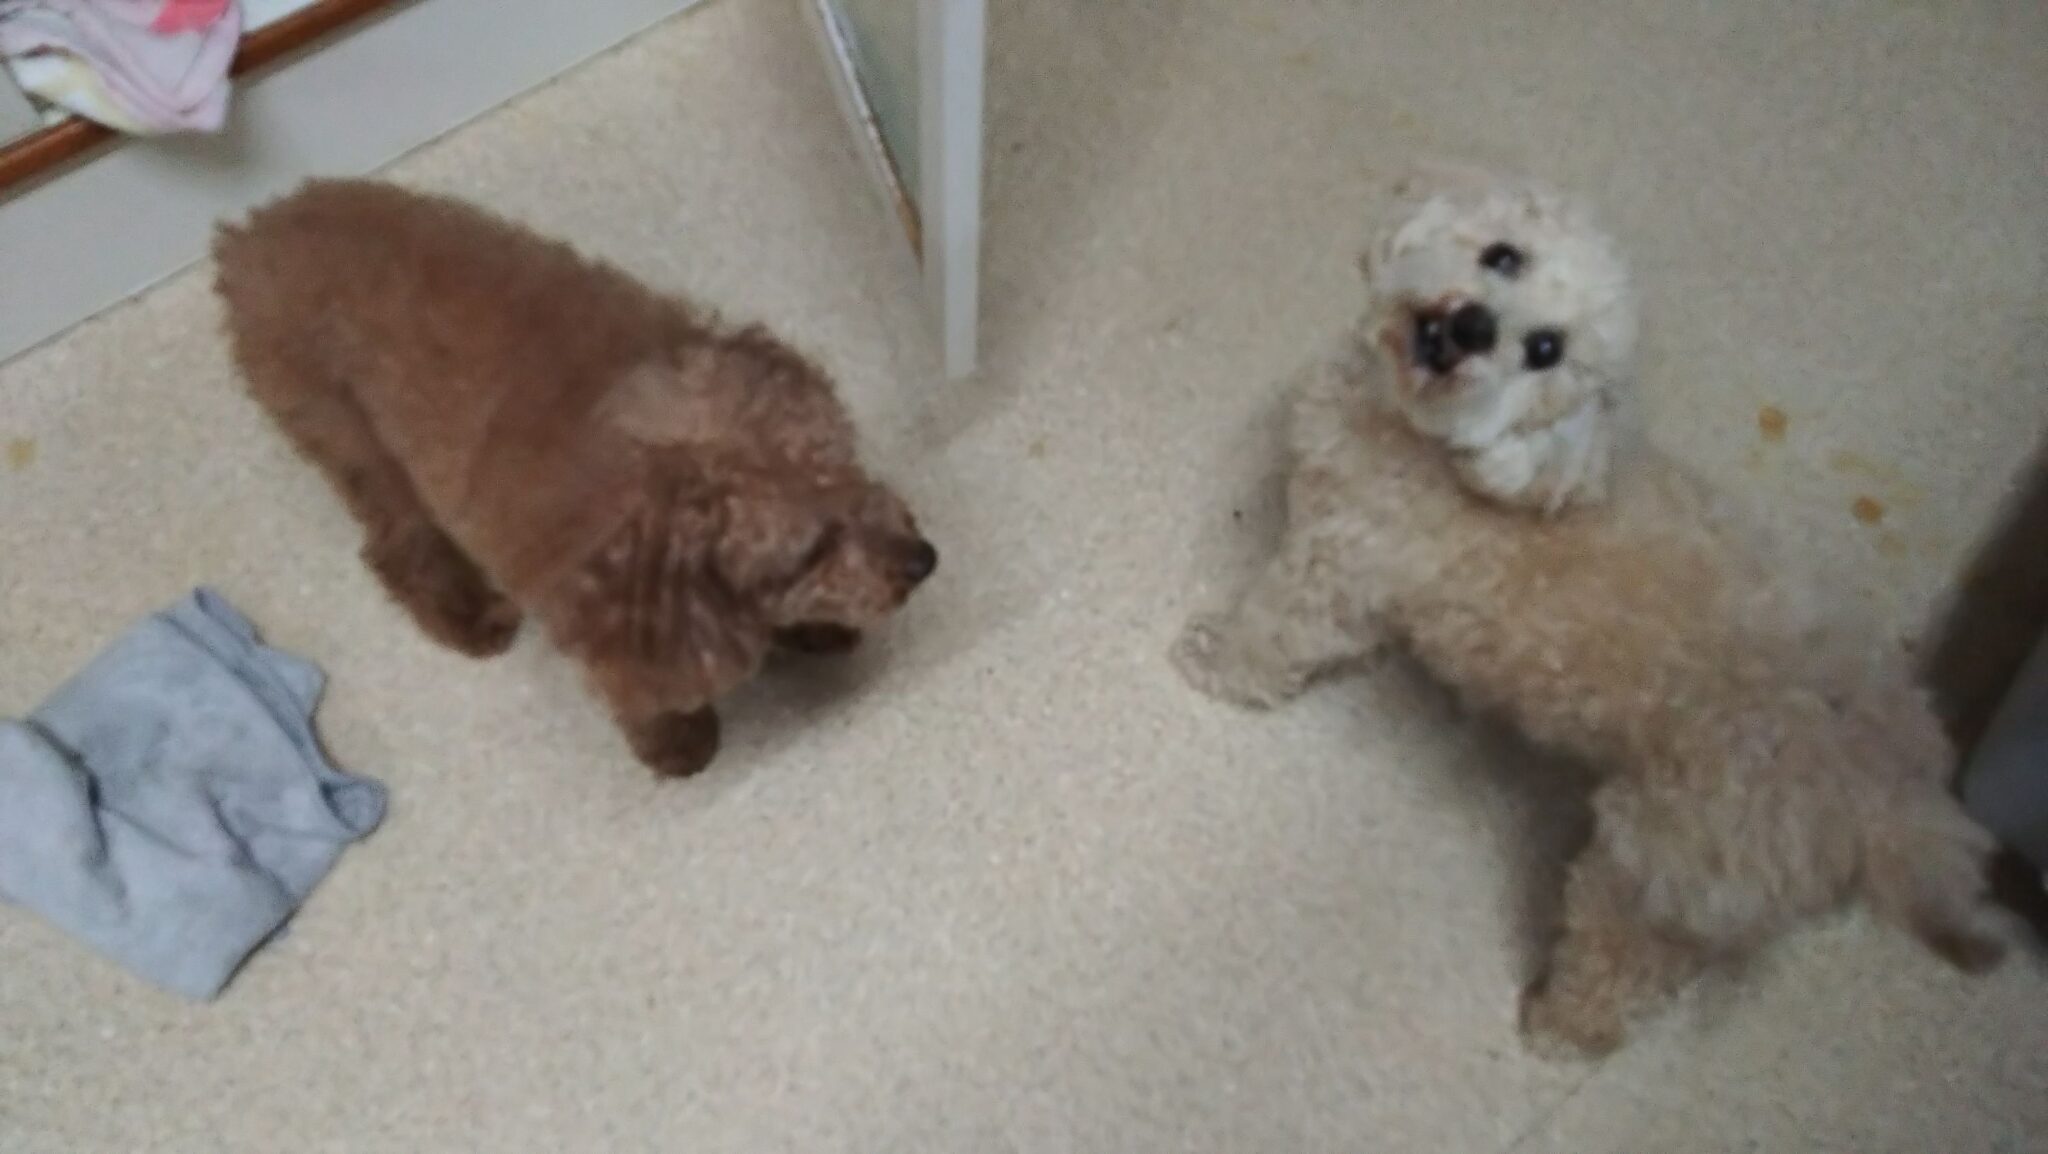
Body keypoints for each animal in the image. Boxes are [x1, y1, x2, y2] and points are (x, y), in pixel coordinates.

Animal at [215, 180, 936, 778]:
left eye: (844, 470)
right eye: (812, 548)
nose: (923, 559)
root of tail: (246, 239)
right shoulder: (607, 624)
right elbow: (643, 693)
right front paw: (679, 744)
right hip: (349, 437)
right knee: (396, 544)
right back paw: (467, 615)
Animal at [1172, 171, 2006, 1057]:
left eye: (1545, 351)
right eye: (1504, 255)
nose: (1474, 325)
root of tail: (1886, 797)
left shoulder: (1333, 568)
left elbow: (1270, 636)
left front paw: (1213, 657)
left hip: (1648, 871)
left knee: (1618, 976)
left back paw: (1555, 1026)